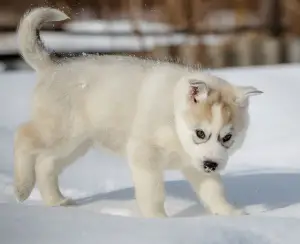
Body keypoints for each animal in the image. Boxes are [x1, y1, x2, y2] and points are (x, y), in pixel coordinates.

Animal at [13, 7, 262, 217]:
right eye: (200, 133)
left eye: (227, 137)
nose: (212, 165)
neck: (174, 119)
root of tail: (53, 66)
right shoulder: (145, 153)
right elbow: (153, 191)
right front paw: (157, 219)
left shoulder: (196, 162)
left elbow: (214, 189)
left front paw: (230, 214)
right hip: (60, 129)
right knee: (24, 136)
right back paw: (22, 187)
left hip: (76, 143)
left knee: (46, 162)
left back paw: (56, 201)